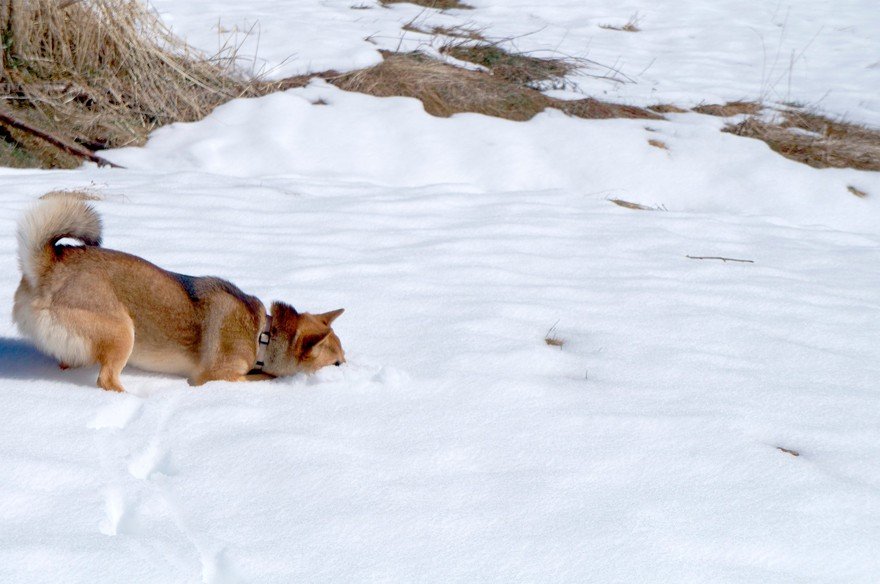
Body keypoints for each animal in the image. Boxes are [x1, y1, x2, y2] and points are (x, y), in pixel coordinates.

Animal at [14, 196, 344, 392]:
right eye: (338, 363)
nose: (347, 371)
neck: (262, 335)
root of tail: (49, 266)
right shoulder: (215, 377)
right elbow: (259, 378)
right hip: (124, 332)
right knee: (107, 380)